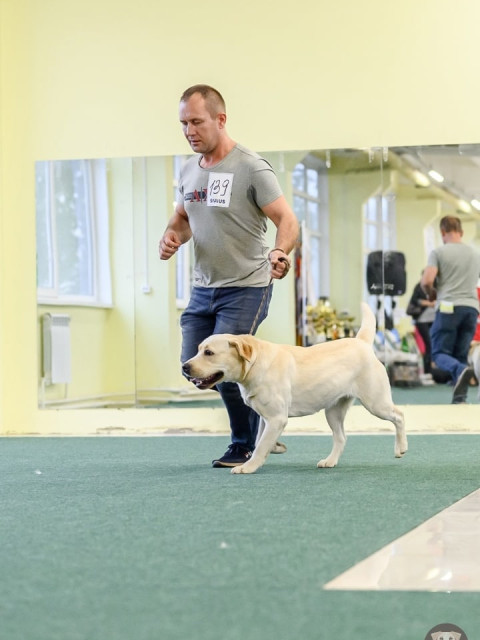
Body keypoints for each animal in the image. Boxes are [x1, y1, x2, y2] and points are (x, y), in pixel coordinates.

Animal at [182, 302, 406, 472]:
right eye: (198, 349)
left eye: (209, 353)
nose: (185, 366)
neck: (254, 365)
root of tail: (362, 343)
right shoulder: (266, 418)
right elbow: (260, 440)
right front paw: (270, 450)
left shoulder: (277, 418)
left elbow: (260, 445)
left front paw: (247, 467)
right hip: (333, 411)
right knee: (341, 437)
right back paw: (329, 461)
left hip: (376, 402)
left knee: (399, 416)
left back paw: (401, 448)